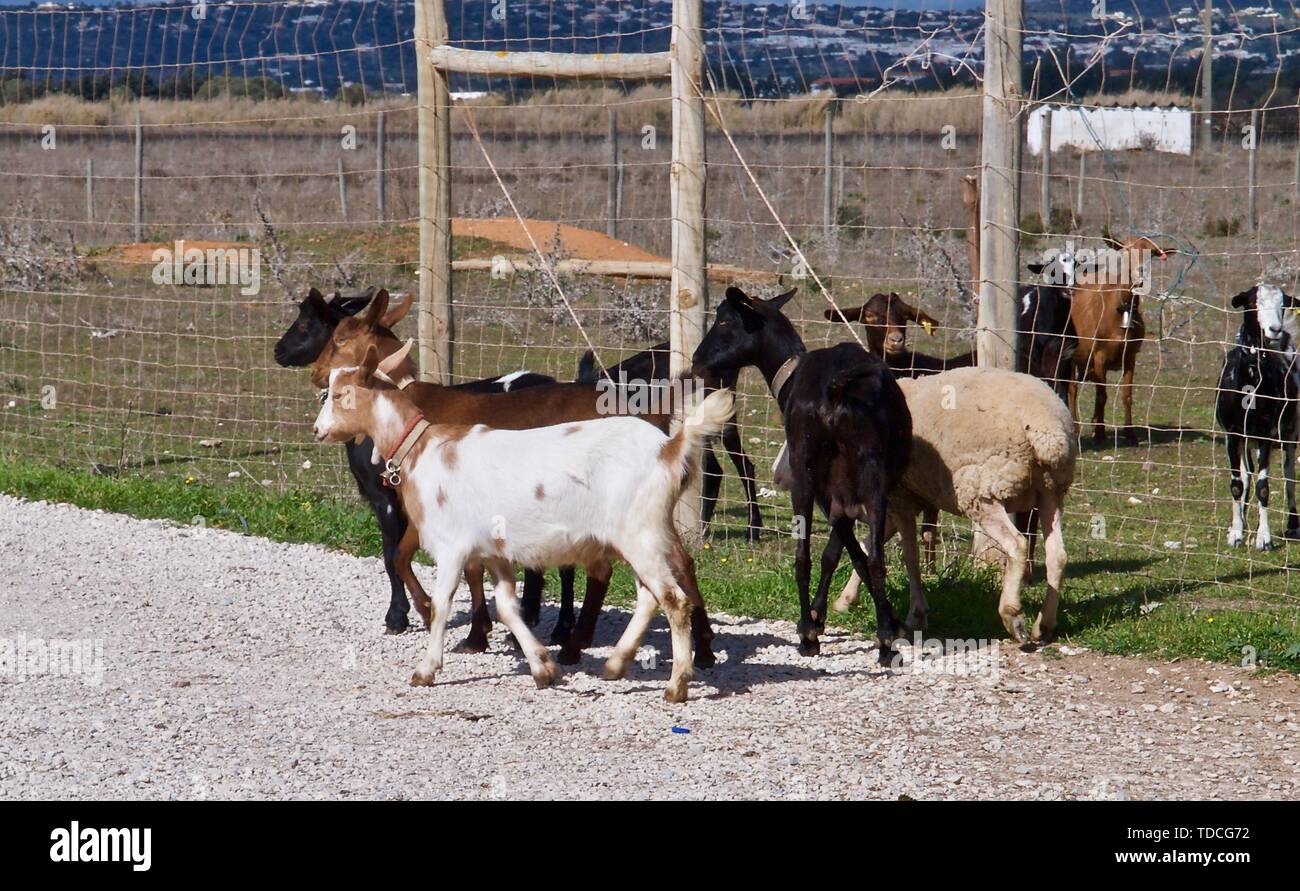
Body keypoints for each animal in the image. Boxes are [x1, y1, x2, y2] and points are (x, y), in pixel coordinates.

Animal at [309, 291, 720, 667]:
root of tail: (657, 419)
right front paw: (477, 630)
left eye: (340, 338)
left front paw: (440, 618)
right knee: (680, 561)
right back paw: (702, 648)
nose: (315, 373)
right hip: (644, 511)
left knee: (604, 570)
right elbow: (443, 562)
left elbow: (402, 557)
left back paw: (577, 644)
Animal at [693, 286, 914, 661]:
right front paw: (886, 620)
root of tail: (837, 389)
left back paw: (809, 635)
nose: (696, 360)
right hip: (872, 473)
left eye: (723, 321)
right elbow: (841, 551)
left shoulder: (828, 492)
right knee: (873, 556)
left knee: (802, 555)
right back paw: (884, 641)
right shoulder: (843, 493)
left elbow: (836, 552)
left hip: (805, 468)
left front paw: (816, 617)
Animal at [829, 367, 1077, 642]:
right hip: (1051, 491)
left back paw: (1012, 614)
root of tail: (1047, 430)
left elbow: (910, 557)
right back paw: (1044, 625)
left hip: (982, 489)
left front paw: (916, 615)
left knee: (1017, 544)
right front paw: (845, 600)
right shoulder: (895, 507)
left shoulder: (900, 499)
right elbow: (868, 547)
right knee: (1057, 555)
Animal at [1215, 284, 1300, 550]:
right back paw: (1240, 522)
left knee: (1289, 476)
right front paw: (1236, 533)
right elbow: (1237, 484)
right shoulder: (1232, 434)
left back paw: (1293, 525)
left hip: (1289, 432)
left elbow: (1263, 487)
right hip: (1245, 440)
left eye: (1283, 304)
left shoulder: (1265, 435)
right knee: (1246, 475)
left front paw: (1264, 538)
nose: (1275, 329)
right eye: (1253, 302)